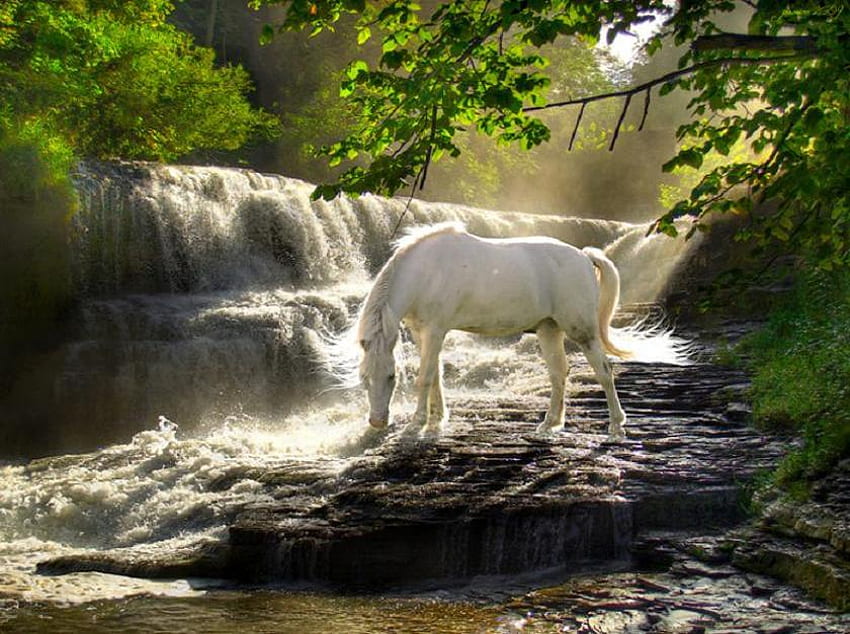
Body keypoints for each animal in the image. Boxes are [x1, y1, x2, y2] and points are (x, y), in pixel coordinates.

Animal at [354, 222, 632, 440]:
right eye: (364, 378)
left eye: (391, 376)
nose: (377, 421)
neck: (426, 272)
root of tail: (584, 256)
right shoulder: (423, 333)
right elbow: (435, 375)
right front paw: (436, 420)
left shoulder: (435, 331)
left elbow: (424, 377)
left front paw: (416, 424)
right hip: (549, 329)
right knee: (558, 373)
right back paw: (550, 423)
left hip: (582, 332)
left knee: (604, 371)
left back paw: (616, 426)